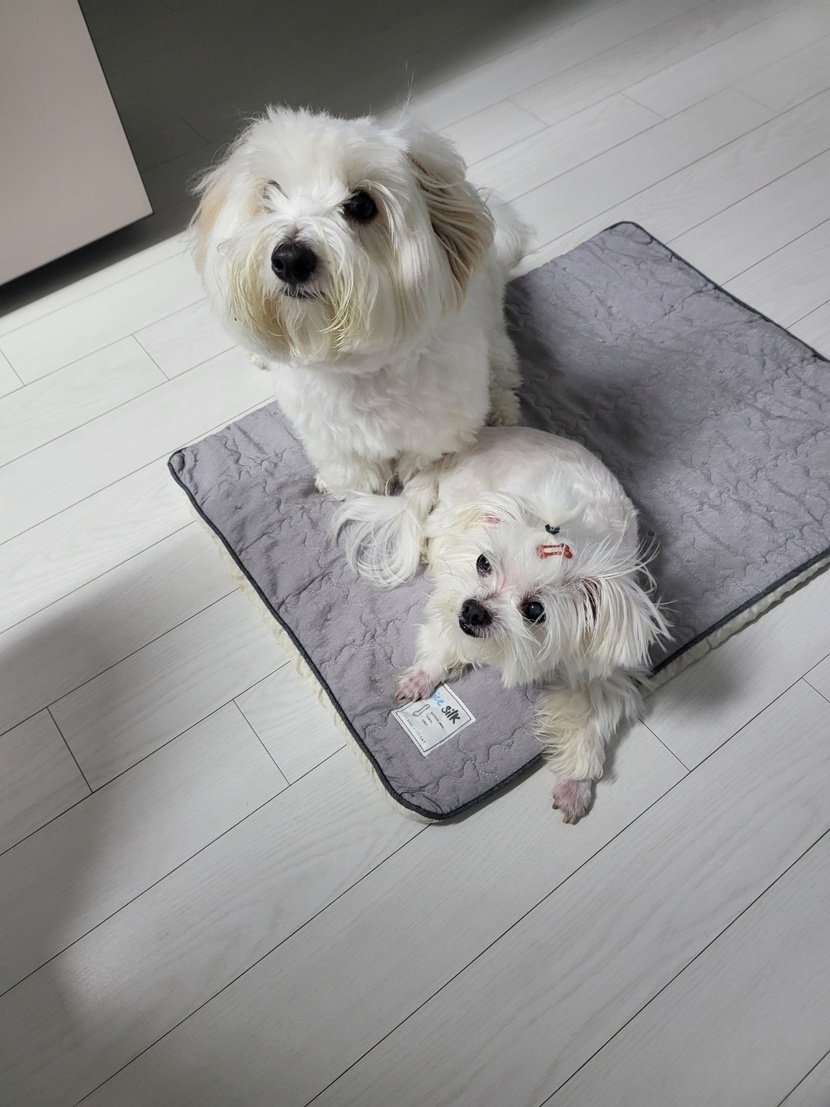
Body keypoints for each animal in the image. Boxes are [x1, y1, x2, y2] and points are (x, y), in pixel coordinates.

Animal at [191, 106, 527, 497]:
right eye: (270, 192)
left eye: (363, 206)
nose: (290, 258)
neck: (358, 373)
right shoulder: (326, 435)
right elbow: (350, 471)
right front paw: (349, 489)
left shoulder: (440, 428)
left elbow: (424, 460)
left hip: (494, 334)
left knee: (503, 370)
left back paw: (503, 410)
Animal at [337, 426, 669, 822]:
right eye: (484, 562)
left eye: (535, 610)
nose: (474, 611)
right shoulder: (457, 589)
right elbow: (445, 635)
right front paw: (423, 675)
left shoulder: (595, 668)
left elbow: (589, 722)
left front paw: (574, 786)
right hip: (454, 511)